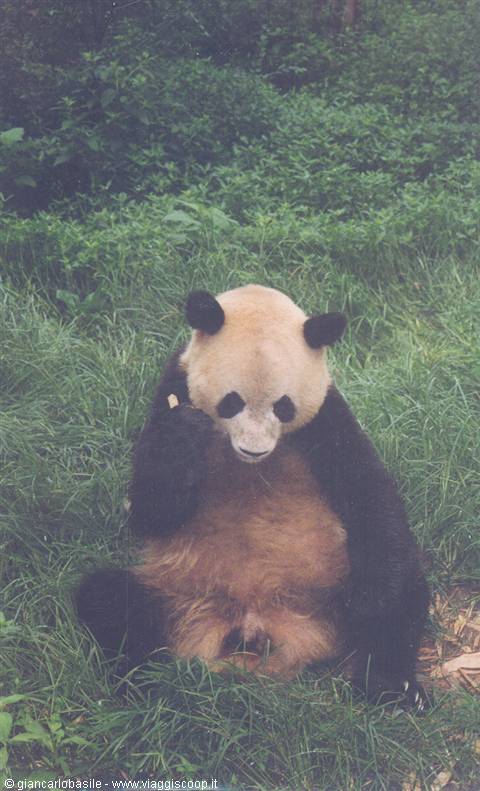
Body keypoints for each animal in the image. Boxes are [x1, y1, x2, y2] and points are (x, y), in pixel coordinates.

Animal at [77, 284, 429, 708]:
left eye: (284, 406)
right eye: (232, 401)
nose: (254, 449)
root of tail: (255, 630)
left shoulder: (326, 419)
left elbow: (368, 494)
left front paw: (369, 602)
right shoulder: (171, 389)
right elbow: (150, 509)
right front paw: (183, 436)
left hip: (325, 588)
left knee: (402, 600)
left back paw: (391, 687)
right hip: (175, 592)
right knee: (111, 601)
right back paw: (145, 685)